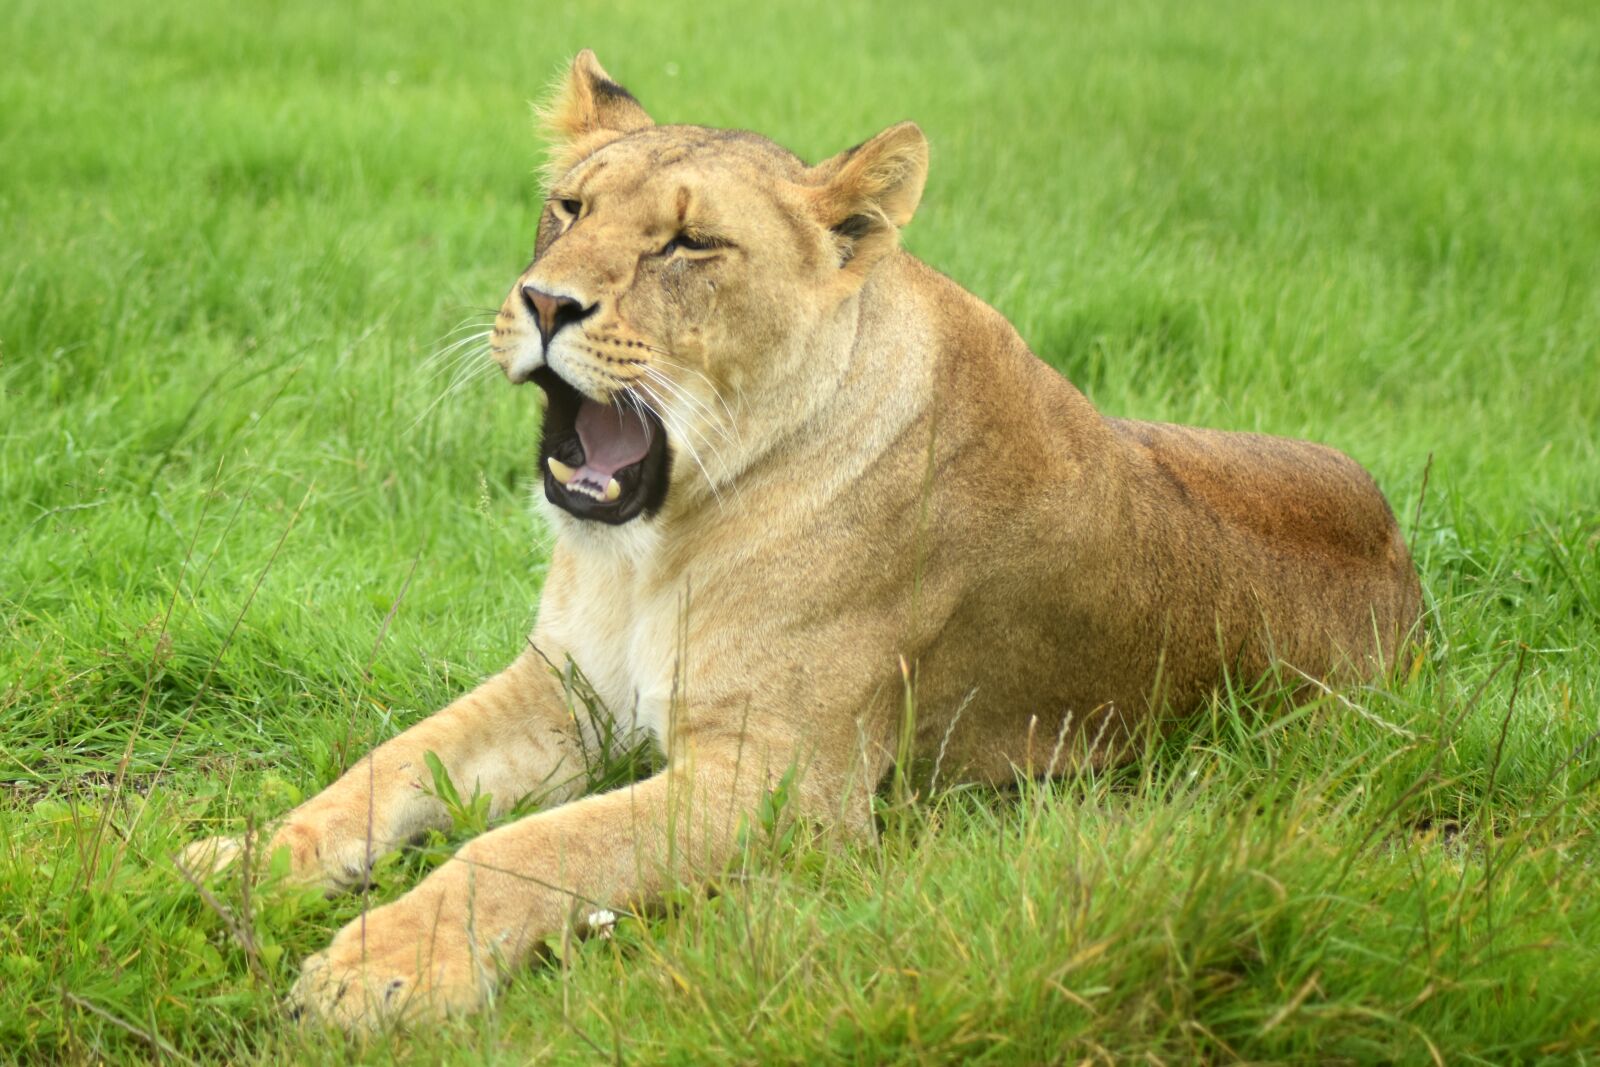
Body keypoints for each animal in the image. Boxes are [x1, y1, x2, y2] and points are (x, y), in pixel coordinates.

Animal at [180, 50, 1421, 1029]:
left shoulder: (784, 781)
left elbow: (536, 844)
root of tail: (1405, 560)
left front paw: (384, 965)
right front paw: (239, 864)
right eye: (569, 210)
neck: (659, 541)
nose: (544, 302)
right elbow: (385, 764)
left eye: (688, 243)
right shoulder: (567, 683)